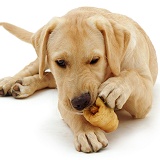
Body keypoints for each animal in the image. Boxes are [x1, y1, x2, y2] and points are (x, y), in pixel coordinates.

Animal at [0, 7, 158, 152]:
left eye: (95, 60)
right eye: (60, 62)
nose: (80, 102)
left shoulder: (144, 101)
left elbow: (133, 76)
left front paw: (116, 87)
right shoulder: (63, 100)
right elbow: (74, 114)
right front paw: (88, 131)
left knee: (49, 77)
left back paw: (24, 85)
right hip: (42, 58)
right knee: (34, 69)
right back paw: (12, 82)